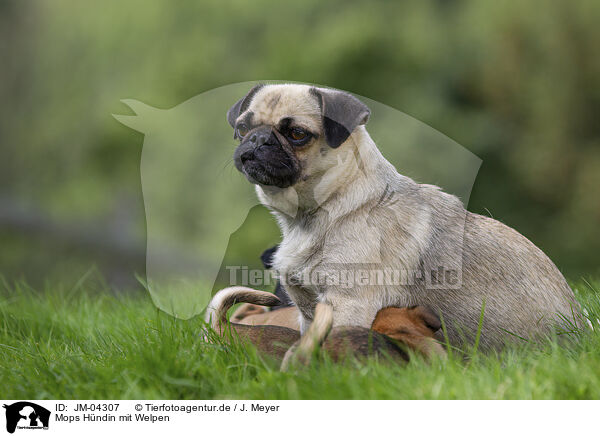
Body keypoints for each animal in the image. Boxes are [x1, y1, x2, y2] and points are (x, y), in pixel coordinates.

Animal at [225, 83, 580, 352]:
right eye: (242, 128)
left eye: (297, 134)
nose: (257, 139)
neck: (324, 210)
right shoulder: (309, 312)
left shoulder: (347, 305)